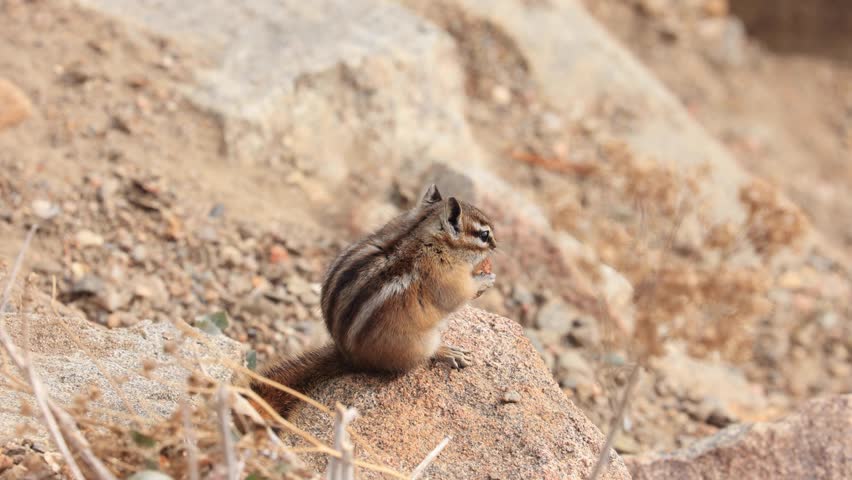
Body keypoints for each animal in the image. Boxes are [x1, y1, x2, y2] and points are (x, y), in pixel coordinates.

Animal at [250, 184, 497, 416]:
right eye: (484, 235)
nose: (496, 246)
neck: (423, 231)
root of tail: (350, 358)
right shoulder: (446, 277)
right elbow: (459, 296)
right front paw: (485, 280)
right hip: (420, 343)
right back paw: (447, 352)